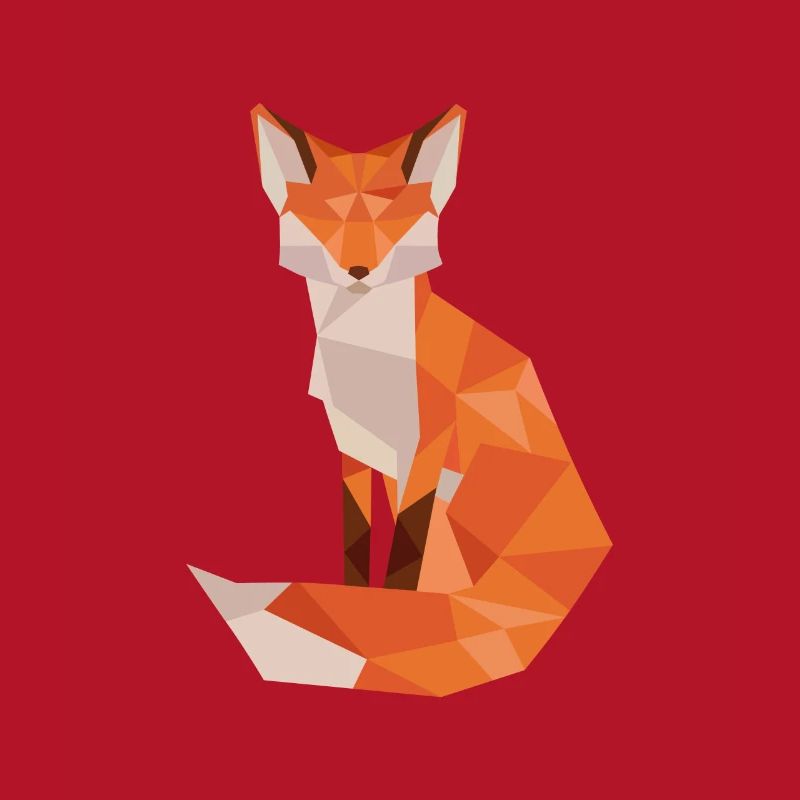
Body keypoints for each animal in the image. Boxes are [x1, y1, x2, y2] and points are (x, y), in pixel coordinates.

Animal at [189, 104, 612, 697]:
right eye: (328, 221)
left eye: (392, 222)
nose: (358, 271)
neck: (366, 357)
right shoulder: (356, 448)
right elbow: (360, 540)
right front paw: (358, 598)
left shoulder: (426, 449)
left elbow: (404, 554)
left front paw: (387, 610)